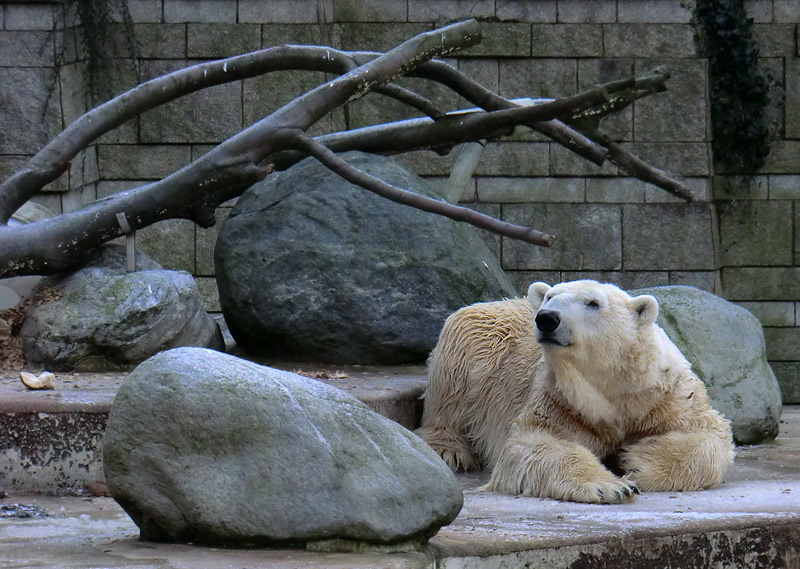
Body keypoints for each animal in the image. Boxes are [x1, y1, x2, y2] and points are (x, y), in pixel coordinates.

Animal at [418, 280, 736, 502]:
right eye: (550, 296)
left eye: (593, 303)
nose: (546, 318)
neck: (613, 389)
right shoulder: (561, 401)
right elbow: (536, 445)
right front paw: (611, 486)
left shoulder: (665, 396)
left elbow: (709, 434)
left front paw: (637, 462)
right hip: (481, 337)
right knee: (452, 381)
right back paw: (449, 451)